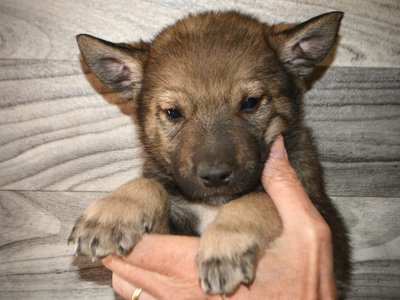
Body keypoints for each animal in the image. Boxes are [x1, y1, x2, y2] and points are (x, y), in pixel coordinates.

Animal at [69, 11, 350, 296]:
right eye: (173, 112)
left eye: (250, 103)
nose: (215, 176)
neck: (212, 206)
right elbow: (148, 183)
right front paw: (114, 212)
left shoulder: (324, 219)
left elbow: (258, 198)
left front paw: (226, 243)